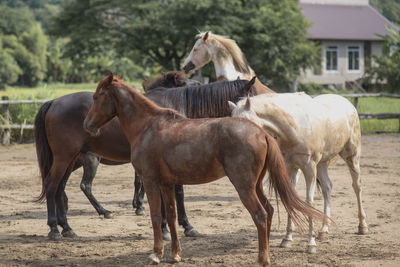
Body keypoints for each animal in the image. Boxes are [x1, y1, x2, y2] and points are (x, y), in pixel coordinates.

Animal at [35, 72, 260, 242]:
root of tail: (54, 101)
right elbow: (176, 193)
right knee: (53, 184)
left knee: (60, 188)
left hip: (71, 159)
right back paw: (55, 228)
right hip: (67, 158)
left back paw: (67, 227)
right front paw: (178, 226)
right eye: (253, 97)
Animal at [83, 73, 324, 266]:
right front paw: (175, 254)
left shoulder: (151, 181)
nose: (88, 125)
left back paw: (262, 259)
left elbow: (155, 215)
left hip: (244, 186)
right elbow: (171, 216)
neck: (148, 126)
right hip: (255, 185)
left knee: (261, 214)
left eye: (96, 97)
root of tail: (261, 132)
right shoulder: (167, 184)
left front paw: (156, 254)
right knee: (269, 210)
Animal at [228, 93, 368, 254]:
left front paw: (311, 244)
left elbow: (309, 202)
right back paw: (324, 230)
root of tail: (348, 104)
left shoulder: (309, 167)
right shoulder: (290, 168)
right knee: (327, 188)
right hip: (322, 163)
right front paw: (287, 239)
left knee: (357, 186)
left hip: (351, 155)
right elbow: (289, 199)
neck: (294, 127)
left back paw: (362, 226)